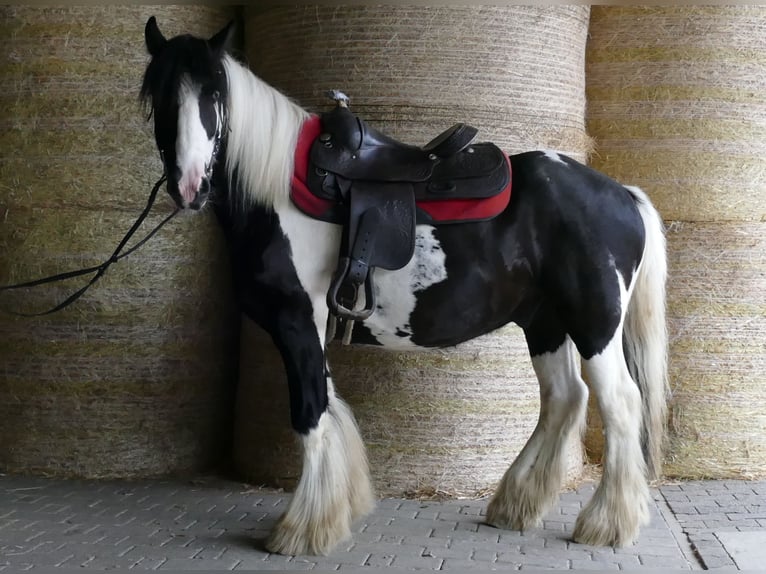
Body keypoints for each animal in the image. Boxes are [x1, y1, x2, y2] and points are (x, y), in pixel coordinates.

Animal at [140, 18, 669, 556]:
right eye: (158, 94)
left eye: (214, 94)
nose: (189, 186)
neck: (276, 190)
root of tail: (623, 195)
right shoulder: (314, 327)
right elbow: (329, 408)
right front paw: (338, 510)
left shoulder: (297, 322)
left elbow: (310, 413)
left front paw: (302, 530)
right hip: (544, 323)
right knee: (564, 397)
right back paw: (515, 506)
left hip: (594, 325)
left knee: (620, 403)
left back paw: (607, 523)